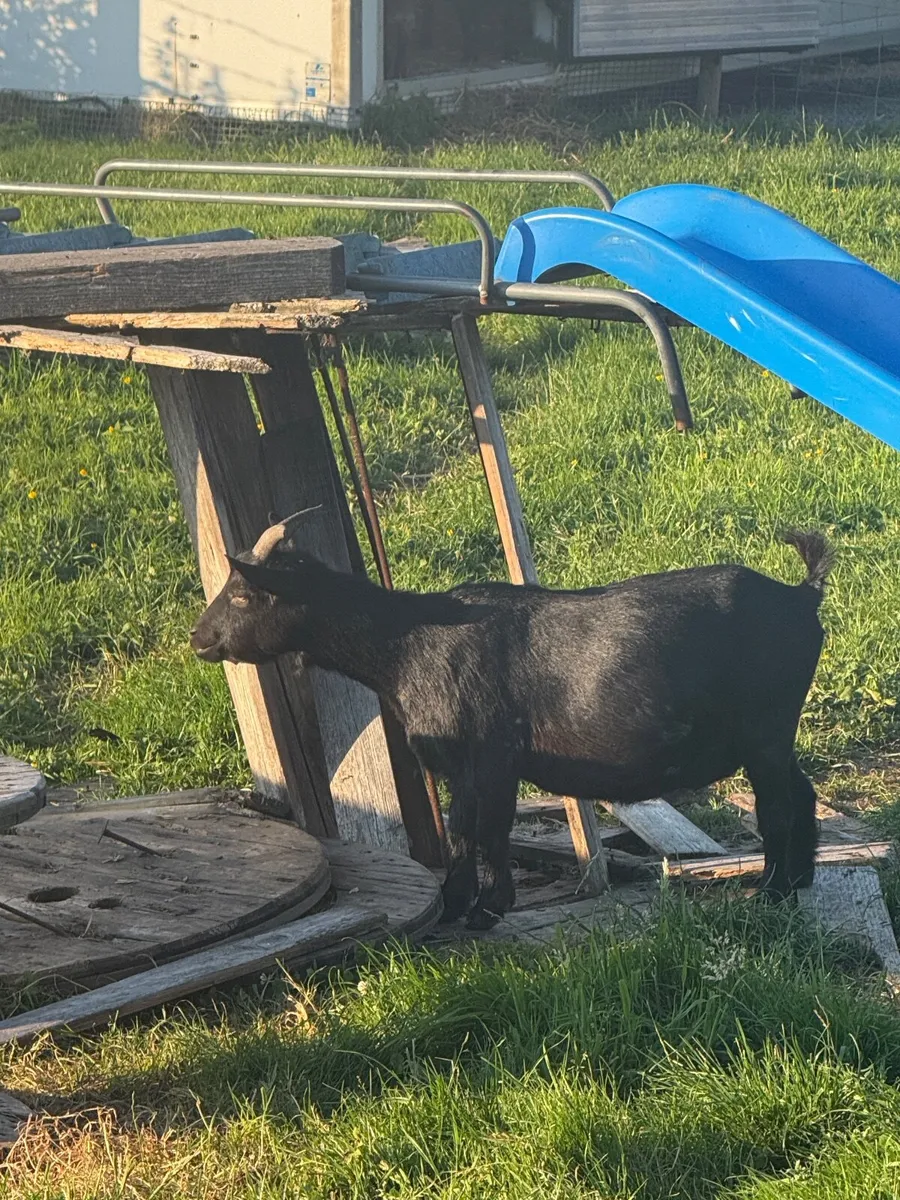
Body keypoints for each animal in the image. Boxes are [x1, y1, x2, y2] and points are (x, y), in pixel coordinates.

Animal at [190, 513, 832, 929]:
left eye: (244, 595)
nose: (198, 638)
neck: (407, 645)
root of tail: (802, 596)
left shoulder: (491, 755)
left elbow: (485, 829)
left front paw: (482, 908)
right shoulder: (462, 766)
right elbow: (467, 830)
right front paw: (461, 903)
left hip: (766, 731)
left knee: (778, 807)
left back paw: (771, 894)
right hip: (773, 737)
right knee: (802, 794)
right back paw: (799, 879)